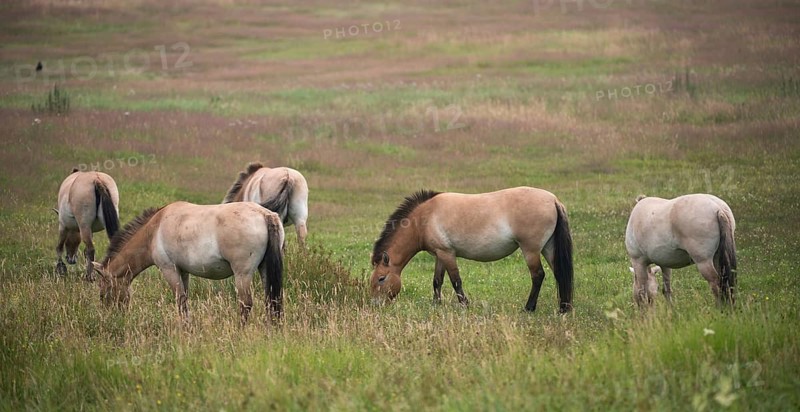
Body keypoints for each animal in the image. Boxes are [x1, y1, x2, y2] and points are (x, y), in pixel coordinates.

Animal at [90, 201, 285, 324]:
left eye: (102, 294)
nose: (112, 318)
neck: (154, 230)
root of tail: (265, 214)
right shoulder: (183, 272)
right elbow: (184, 300)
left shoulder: (169, 269)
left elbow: (180, 301)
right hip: (264, 270)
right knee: (271, 301)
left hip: (242, 274)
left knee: (246, 303)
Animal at [370, 187, 574, 313]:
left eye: (381, 278)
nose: (375, 305)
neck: (424, 219)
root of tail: (553, 200)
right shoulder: (439, 255)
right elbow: (437, 281)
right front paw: (436, 304)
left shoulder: (447, 254)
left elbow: (456, 281)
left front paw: (464, 305)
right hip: (548, 248)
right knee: (559, 274)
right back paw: (564, 308)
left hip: (530, 250)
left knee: (538, 276)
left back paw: (529, 308)